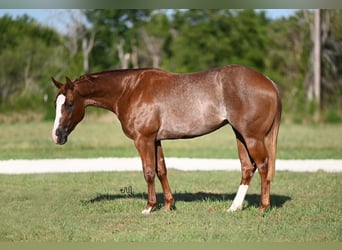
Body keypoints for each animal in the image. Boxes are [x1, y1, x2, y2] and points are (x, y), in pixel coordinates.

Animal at [50, 65, 280, 214]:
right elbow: (161, 170)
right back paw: (234, 207)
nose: (57, 135)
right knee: (247, 168)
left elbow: (149, 172)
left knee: (263, 166)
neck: (130, 89)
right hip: (240, 135)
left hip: (252, 137)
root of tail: (269, 82)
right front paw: (169, 205)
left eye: (69, 103)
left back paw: (263, 207)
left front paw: (149, 207)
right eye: (56, 103)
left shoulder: (143, 140)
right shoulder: (155, 140)